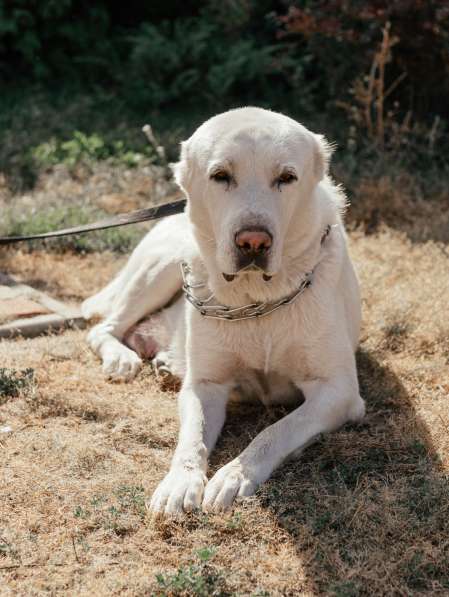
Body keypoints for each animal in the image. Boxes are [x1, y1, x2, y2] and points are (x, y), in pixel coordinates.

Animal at [83, 109, 364, 516]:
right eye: (220, 176)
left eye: (286, 178)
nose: (253, 241)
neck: (257, 298)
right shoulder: (206, 386)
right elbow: (191, 439)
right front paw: (179, 483)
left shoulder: (338, 391)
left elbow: (275, 431)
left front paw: (234, 475)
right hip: (162, 266)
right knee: (104, 327)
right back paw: (123, 358)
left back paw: (166, 361)